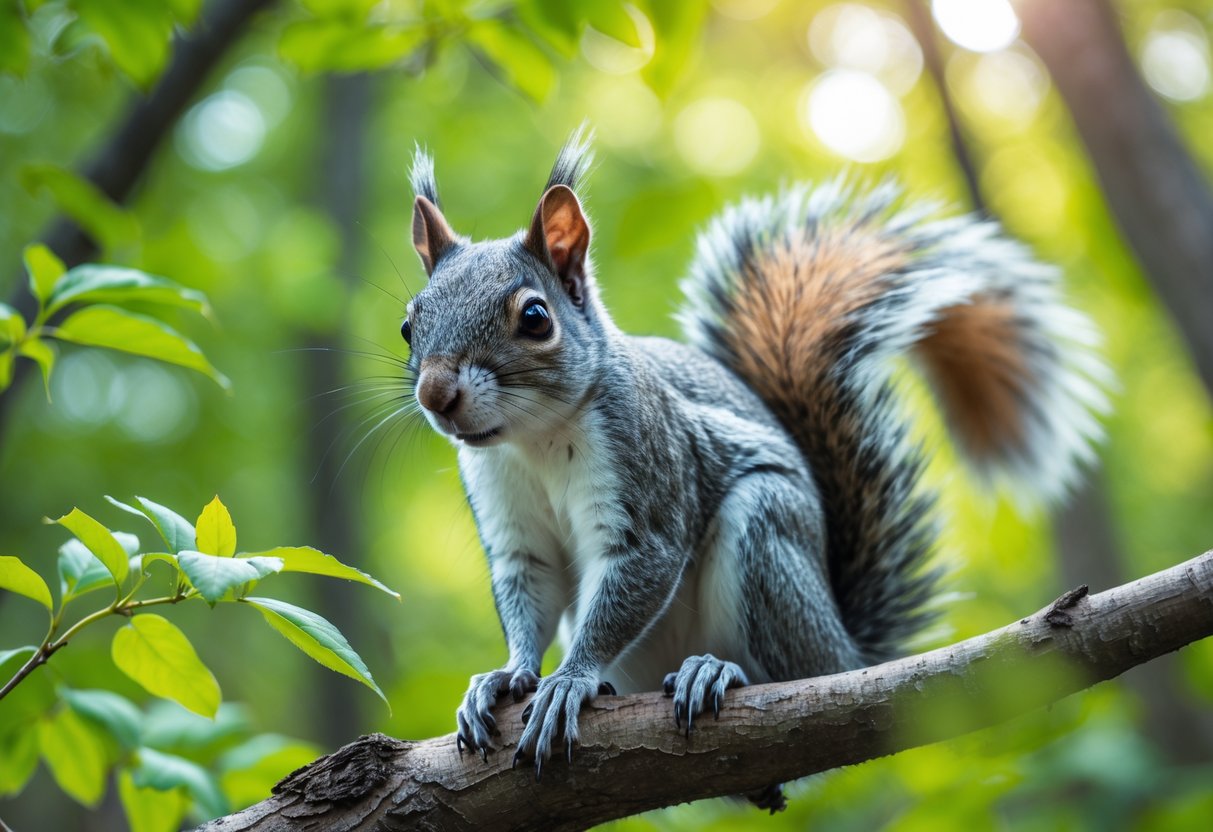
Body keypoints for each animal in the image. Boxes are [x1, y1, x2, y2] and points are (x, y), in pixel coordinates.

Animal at [401, 129, 1106, 807]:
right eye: (410, 325)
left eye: (535, 317)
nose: (435, 395)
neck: (535, 441)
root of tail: (849, 650)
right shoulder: (512, 526)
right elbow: (528, 594)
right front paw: (507, 675)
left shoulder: (649, 469)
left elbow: (635, 578)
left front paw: (569, 681)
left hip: (769, 539)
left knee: (792, 679)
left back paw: (716, 671)